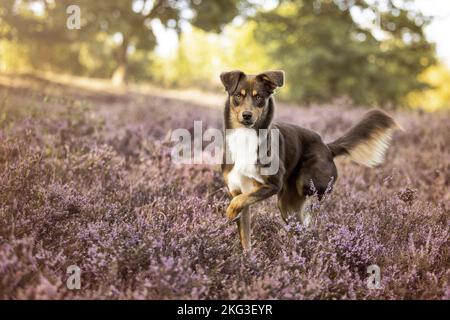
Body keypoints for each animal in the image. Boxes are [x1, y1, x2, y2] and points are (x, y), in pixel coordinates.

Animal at [220, 69, 400, 250]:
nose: (247, 115)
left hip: (307, 183)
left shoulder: (272, 185)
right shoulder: (237, 188)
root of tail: (326, 146)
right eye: (238, 95)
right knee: (301, 227)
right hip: (287, 204)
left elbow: (239, 200)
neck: (245, 138)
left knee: (314, 213)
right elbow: (244, 231)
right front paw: (247, 255)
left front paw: (230, 211)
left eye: (259, 97)